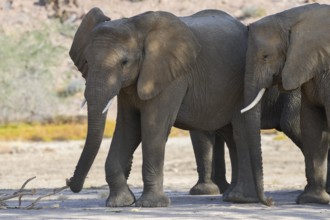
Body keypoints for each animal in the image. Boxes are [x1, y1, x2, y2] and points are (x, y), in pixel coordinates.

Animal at [67, 6, 270, 206]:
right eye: (86, 61)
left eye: (124, 62)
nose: (69, 181)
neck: (135, 26)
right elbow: (128, 128)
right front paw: (121, 202)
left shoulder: (172, 77)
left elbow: (152, 127)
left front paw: (151, 204)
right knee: (231, 135)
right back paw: (232, 195)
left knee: (240, 132)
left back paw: (241, 198)